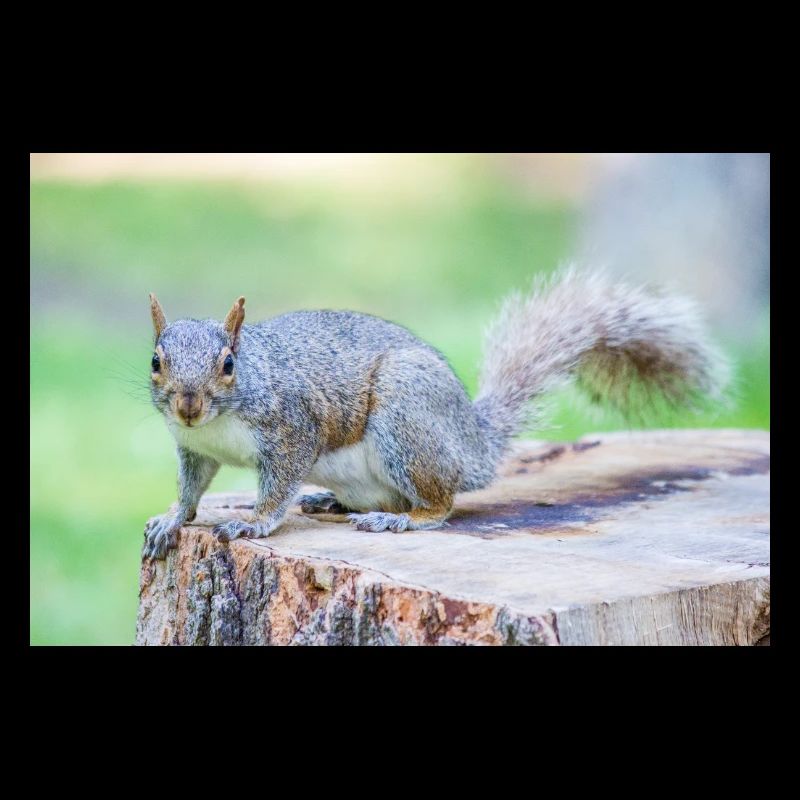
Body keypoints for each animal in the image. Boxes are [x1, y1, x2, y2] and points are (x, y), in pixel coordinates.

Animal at [143, 268, 729, 559]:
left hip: (407, 420)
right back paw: (331, 501)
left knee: (441, 504)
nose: (188, 405)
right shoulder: (193, 448)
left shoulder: (293, 430)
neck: (219, 423)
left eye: (228, 364)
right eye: (155, 360)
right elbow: (192, 489)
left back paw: (401, 518)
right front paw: (172, 518)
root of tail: (473, 443)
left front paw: (254, 522)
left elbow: (277, 484)